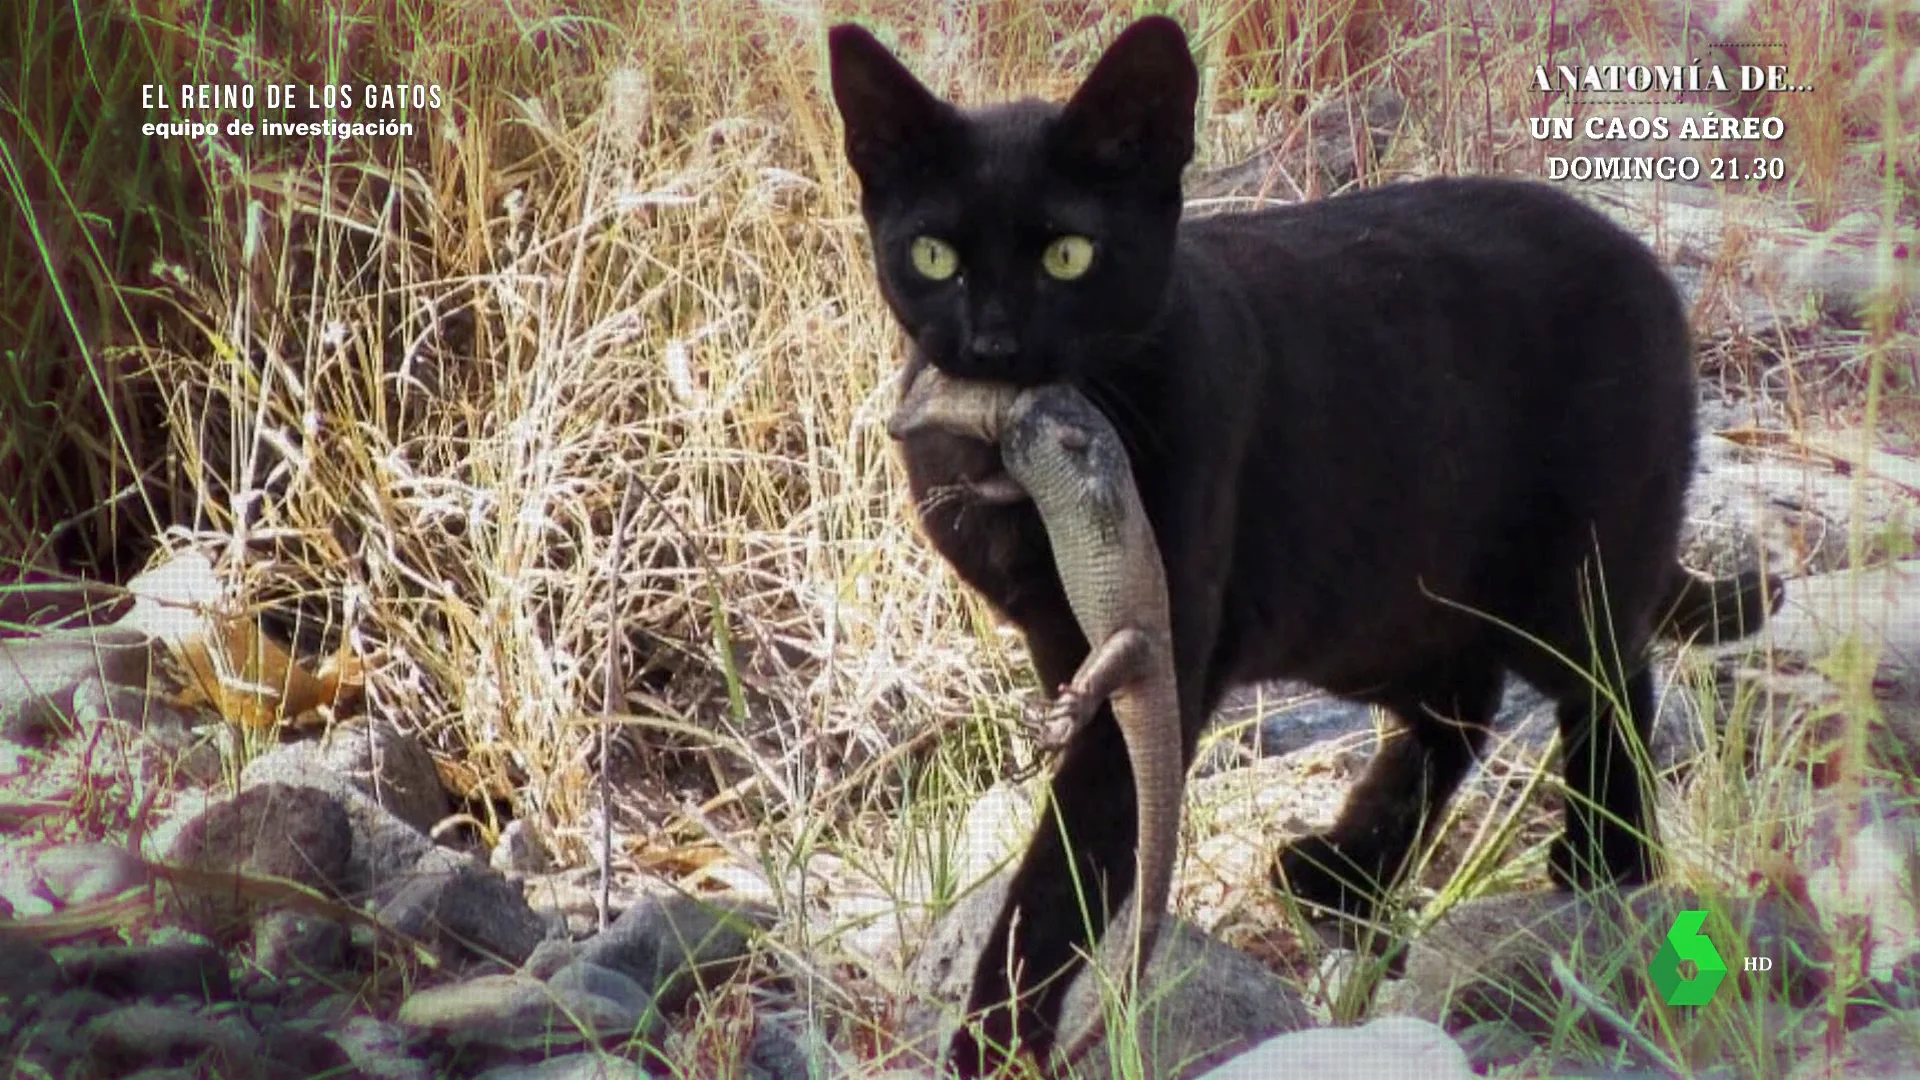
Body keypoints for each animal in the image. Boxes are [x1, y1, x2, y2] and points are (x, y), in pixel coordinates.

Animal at [833, 12, 1774, 1068]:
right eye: (935, 257)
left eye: (1069, 256)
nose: (994, 347)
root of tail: (1642, 261)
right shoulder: (1056, 639)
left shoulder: (1163, 650)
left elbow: (1062, 872)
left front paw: (993, 1046)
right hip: (1372, 605)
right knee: (1461, 706)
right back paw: (1341, 874)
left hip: (1556, 582)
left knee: (1613, 679)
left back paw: (1605, 864)